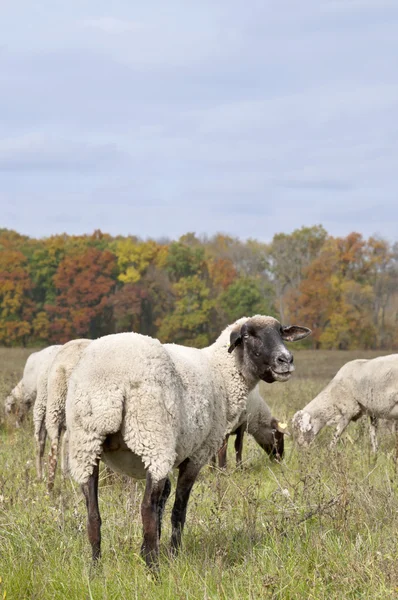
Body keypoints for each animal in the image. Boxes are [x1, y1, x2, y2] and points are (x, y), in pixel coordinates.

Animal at [65, 314, 310, 572]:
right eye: (248, 335)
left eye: (281, 332)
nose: (286, 359)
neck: (221, 374)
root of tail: (110, 378)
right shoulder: (197, 455)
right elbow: (178, 510)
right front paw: (173, 554)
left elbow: (164, 501)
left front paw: (151, 548)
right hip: (153, 437)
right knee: (146, 508)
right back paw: (153, 569)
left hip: (86, 443)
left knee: (93, 513)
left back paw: (95, 568)